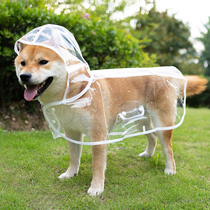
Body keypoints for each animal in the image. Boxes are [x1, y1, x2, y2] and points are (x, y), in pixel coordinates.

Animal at [14, 36, 207, 197]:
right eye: (22, 63)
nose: (24, 76)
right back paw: (147, 154)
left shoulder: (97, 135)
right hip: (140, 121)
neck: (74, 93)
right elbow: (74, 158)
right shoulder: (72, 132)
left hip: (163, 123)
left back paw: (170, 169)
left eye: (43, 62)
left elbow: (97, 166)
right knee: (152, 136)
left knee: (168, 148)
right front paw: (70, 174)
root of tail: (166, 73)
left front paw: (96, 188)